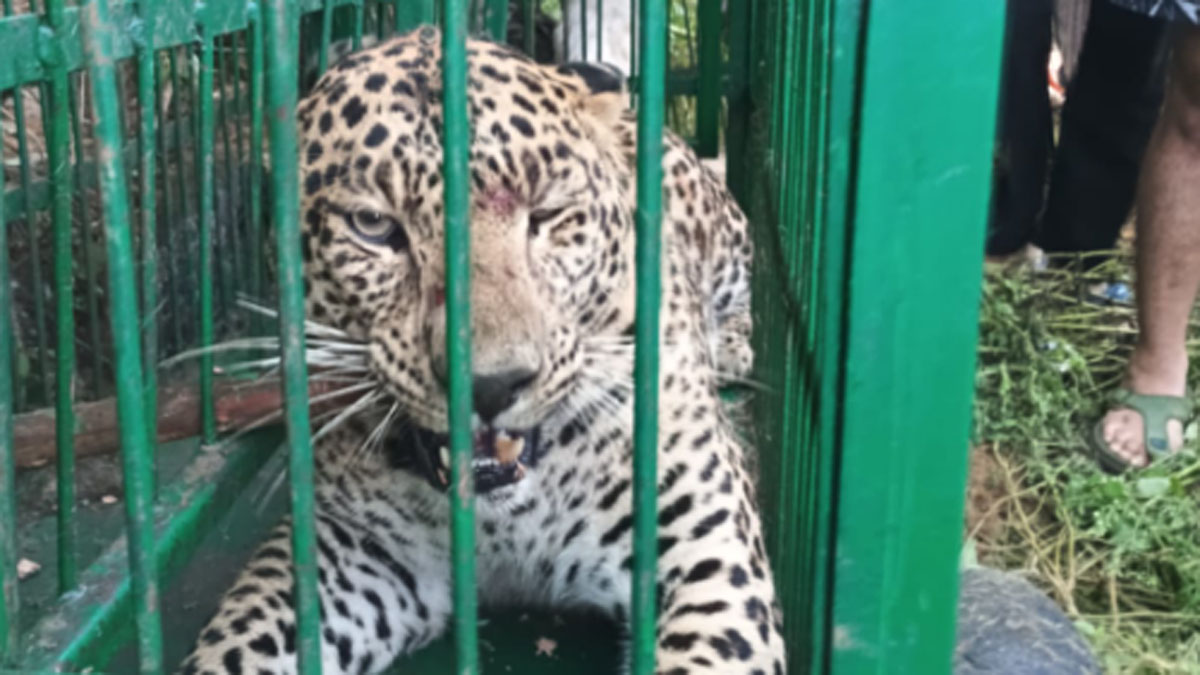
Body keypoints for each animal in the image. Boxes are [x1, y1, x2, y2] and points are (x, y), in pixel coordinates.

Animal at [180, 24, 780, 675]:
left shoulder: (705, 553)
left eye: (546, 216)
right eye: (373, 226)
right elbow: (239, 641)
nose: (491, 386)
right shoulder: (349, 549)